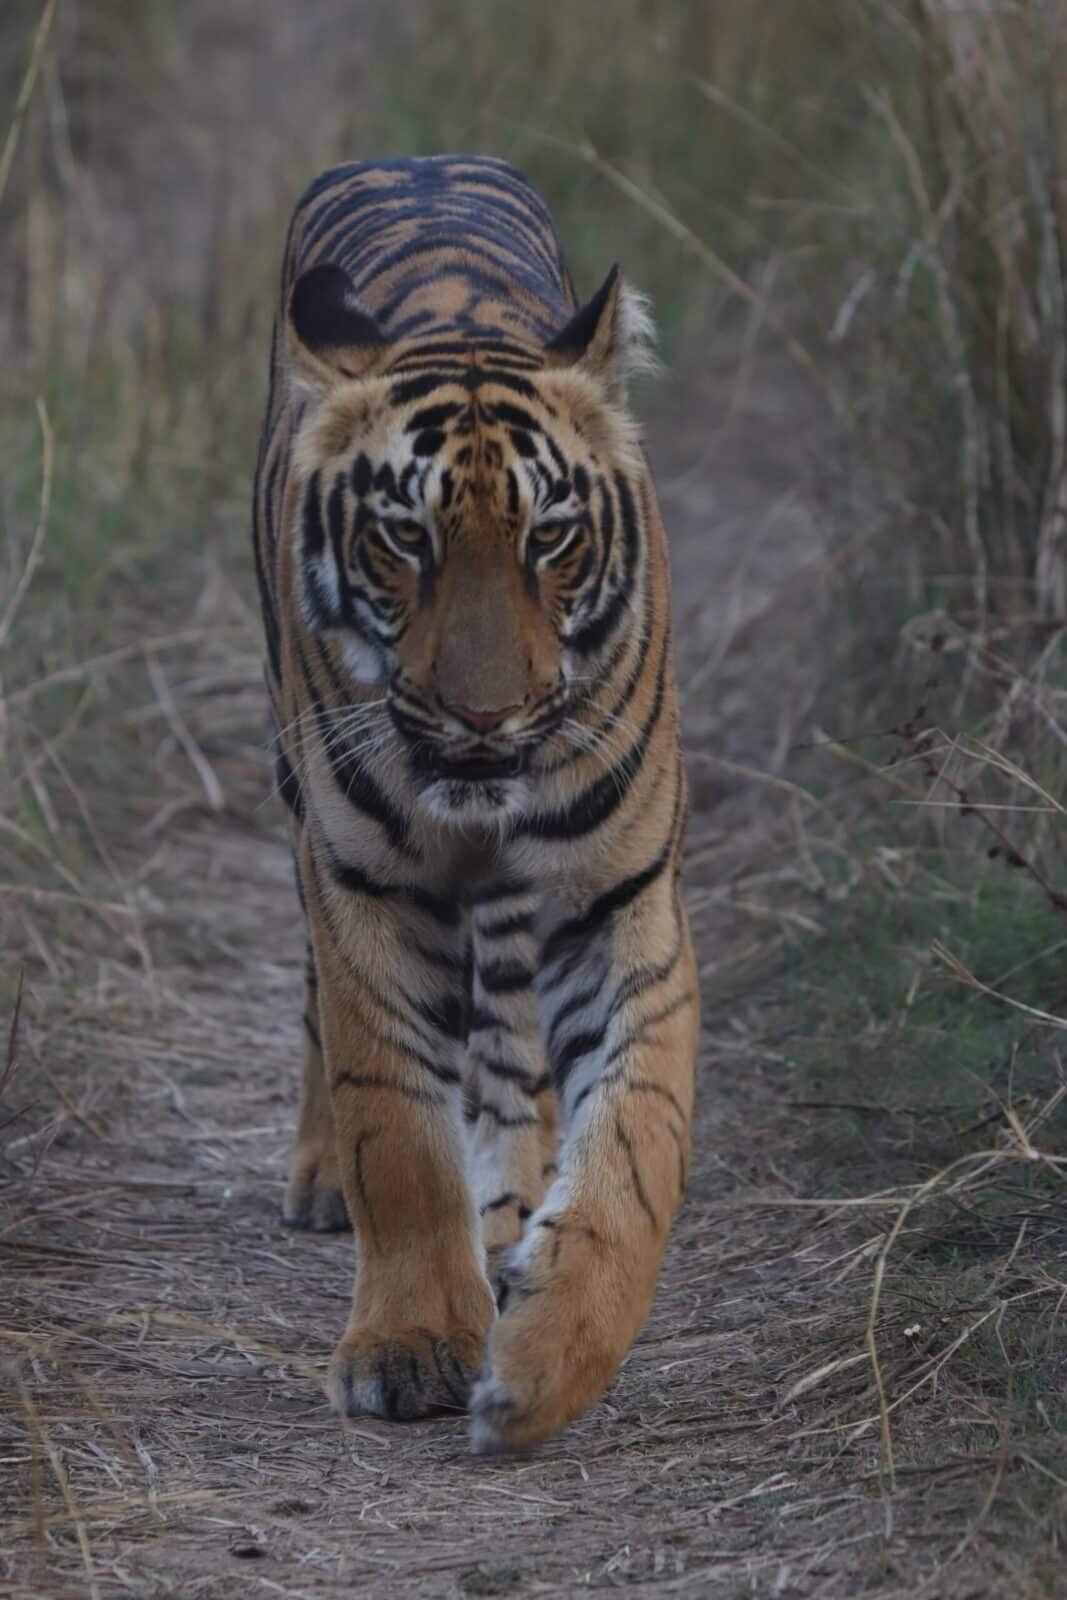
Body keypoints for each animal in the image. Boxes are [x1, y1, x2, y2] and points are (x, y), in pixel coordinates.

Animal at [252, 154, 698, 1452]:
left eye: (550, 536)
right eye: (404, 537)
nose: (486, 717)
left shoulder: (618, 896)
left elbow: (638, 1137)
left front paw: (545, 1364)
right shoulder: (361, 880)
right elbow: (393, 1124)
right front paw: (408, 1347)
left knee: (505, 1039)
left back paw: (509, 1208)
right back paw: (327, 1181)